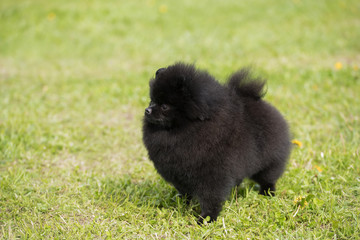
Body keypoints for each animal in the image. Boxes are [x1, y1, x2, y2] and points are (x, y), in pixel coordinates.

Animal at [142, 62, 292, 223]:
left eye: (164, 106)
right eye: (152, 101)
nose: (147, 110)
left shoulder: (213, 175)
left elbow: (211, 199)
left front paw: (206, 219)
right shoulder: (179, 175)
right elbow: (185, 192)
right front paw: (181, 204)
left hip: (269, 163)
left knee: (268, 178)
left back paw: (267, 193)